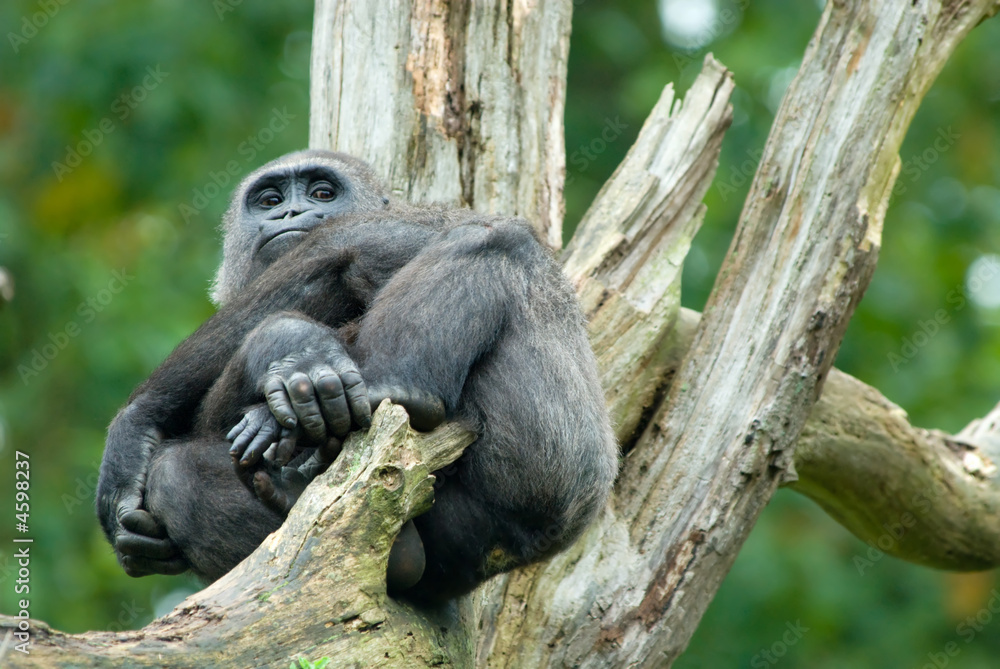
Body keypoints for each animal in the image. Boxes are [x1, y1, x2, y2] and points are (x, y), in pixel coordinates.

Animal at [101, 150, 616, 600]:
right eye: (269, 201)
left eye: (322, 193)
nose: (290, 212)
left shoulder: (384, 224)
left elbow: (330, 256)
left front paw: (134, 424)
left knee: (492, 239)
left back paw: (399, 393)